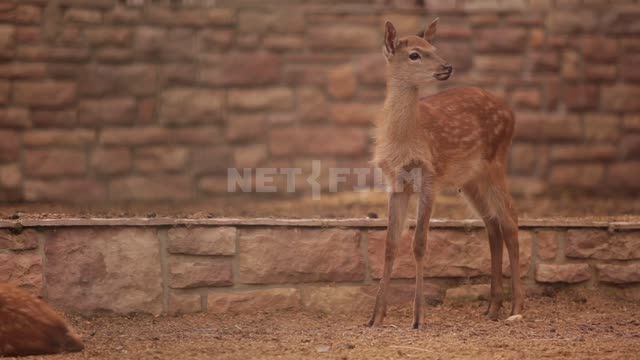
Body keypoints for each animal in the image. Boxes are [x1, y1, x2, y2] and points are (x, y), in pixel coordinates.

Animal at [368, 19, 524, 330]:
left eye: (433, 47)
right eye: (415, 54)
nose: (447, 66)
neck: (405, 139)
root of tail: (511, 113)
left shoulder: (430, 177)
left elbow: (419, 243)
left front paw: (418, 318)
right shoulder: (395, 182)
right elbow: (390, 244)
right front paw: (376, 317)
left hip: (496, 162)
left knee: (510, 220)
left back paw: (516, 307)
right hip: (471, 179)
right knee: (492, 223)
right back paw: (492, 308)